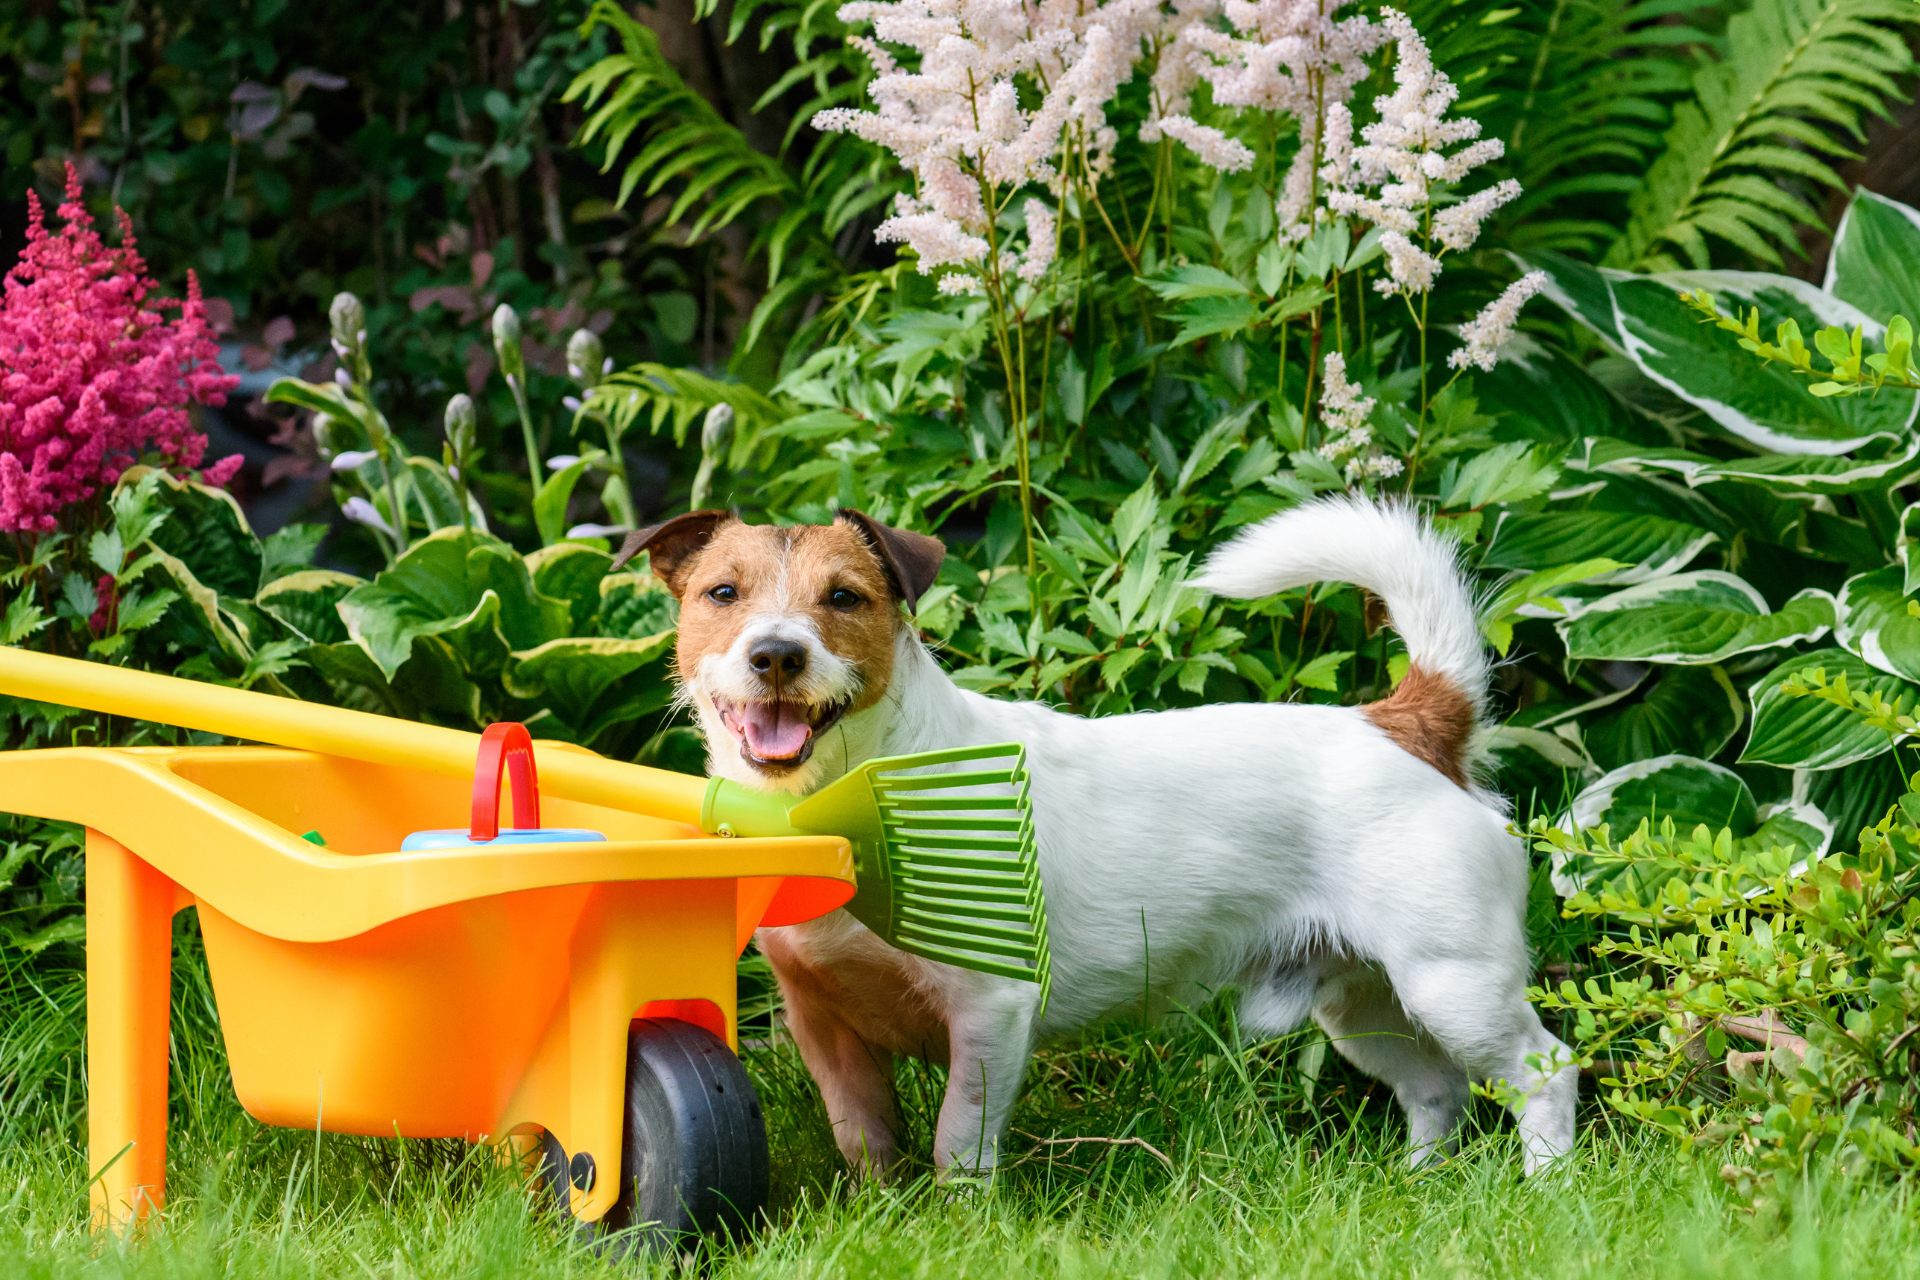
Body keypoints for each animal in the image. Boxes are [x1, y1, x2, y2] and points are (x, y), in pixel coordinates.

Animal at [614, 498, 1574, 1182]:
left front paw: (964, 1222)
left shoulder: (990, 1015)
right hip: (1360, 1004)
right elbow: (868, 1143)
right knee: (1436, 1088)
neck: (848, 801)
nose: (776, 653)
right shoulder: (825, 1024)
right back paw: (1419, 1187)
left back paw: (1549, 1190)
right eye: (722, 594)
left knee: (1545, 1071)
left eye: (844, 597)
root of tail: (1410, 722)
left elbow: (959, 1142)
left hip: (1454, 982)